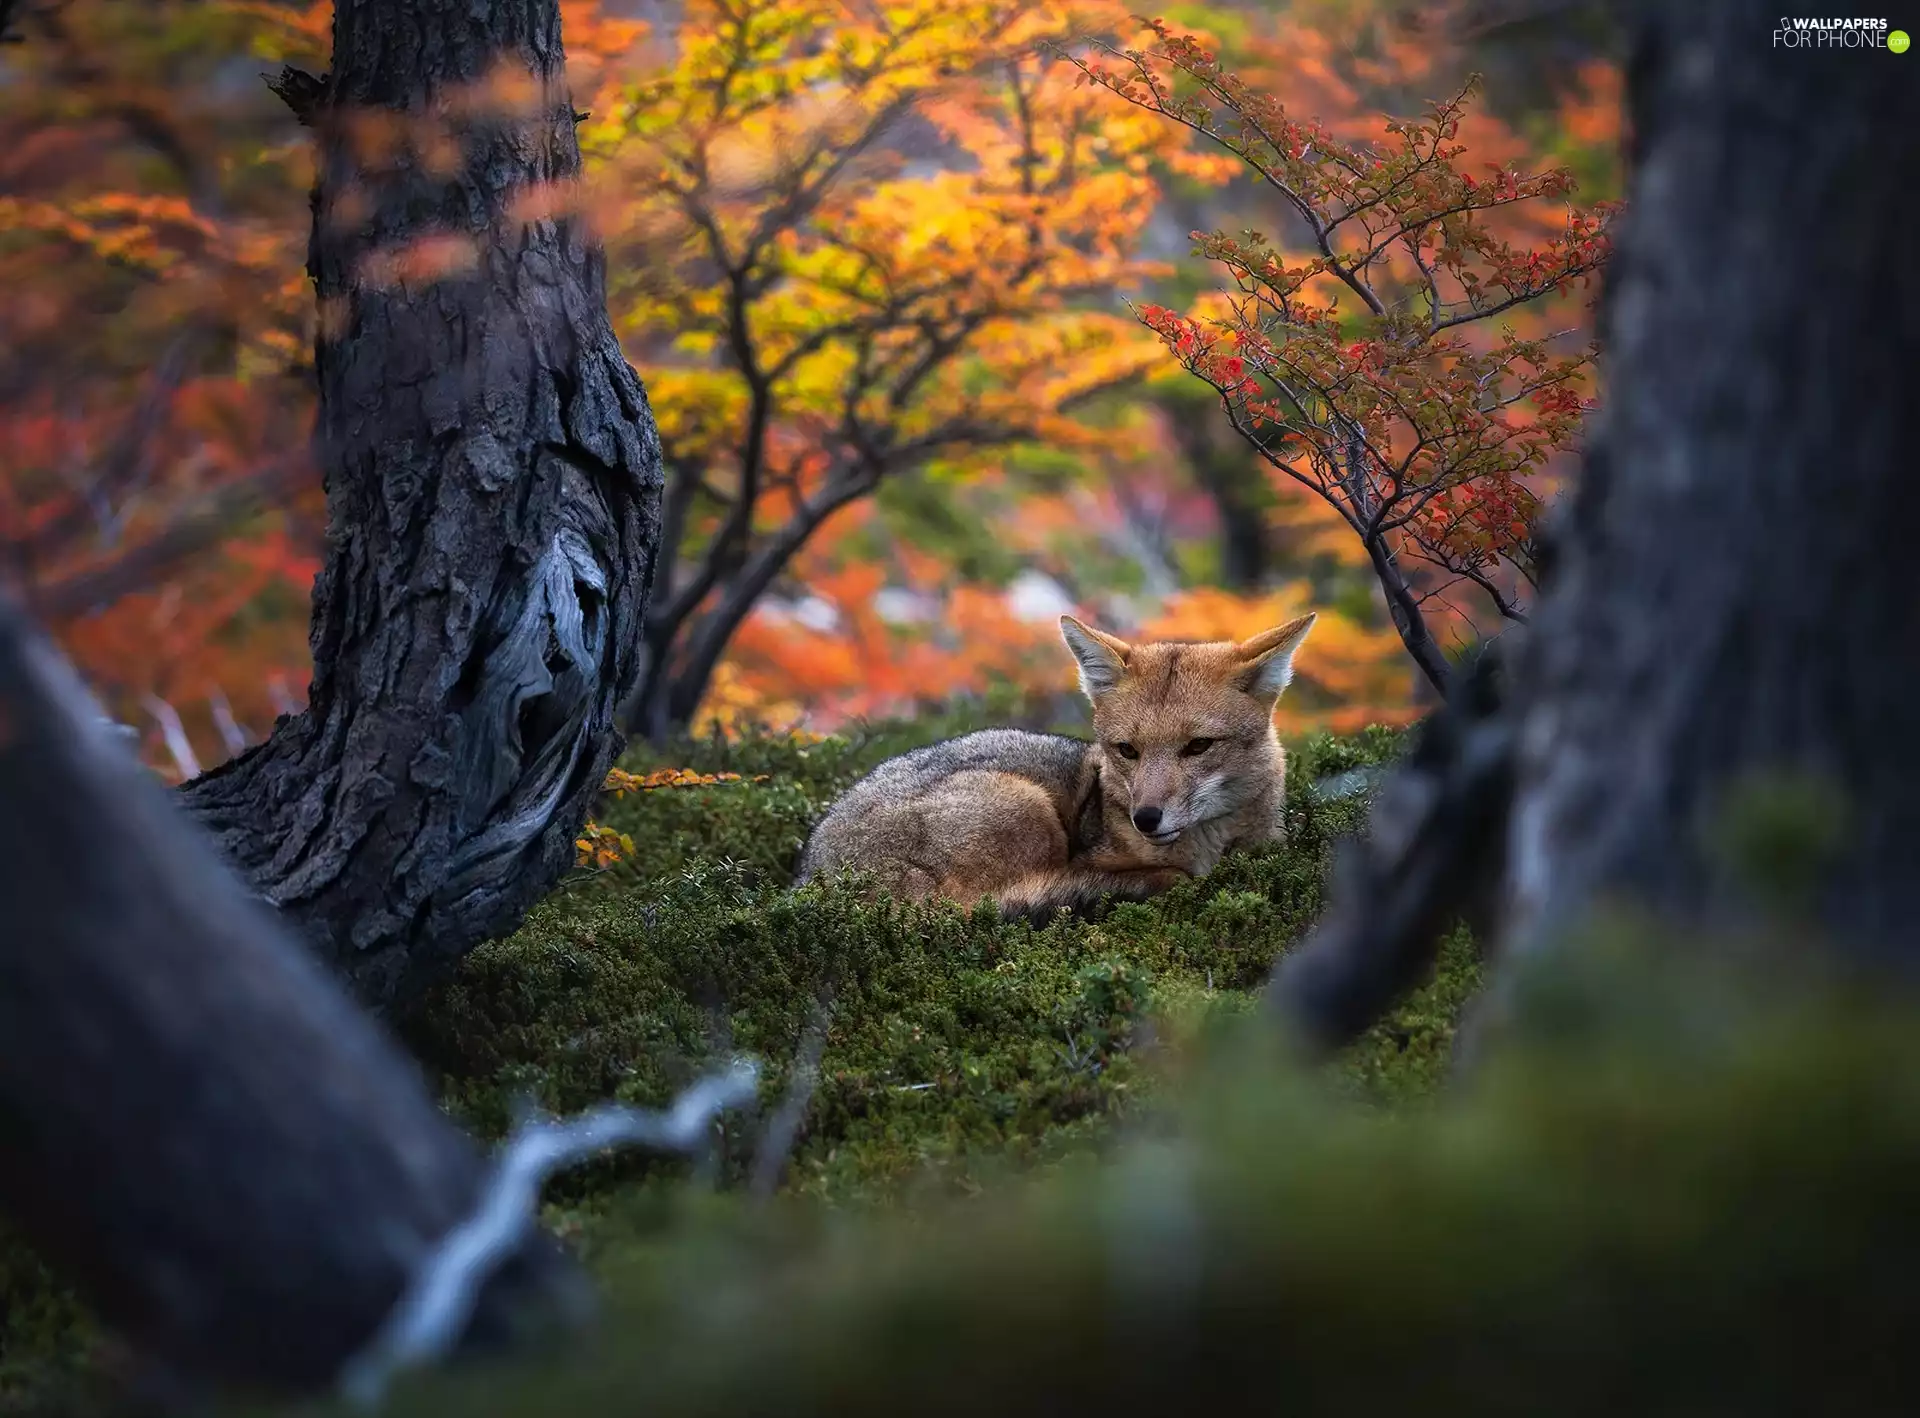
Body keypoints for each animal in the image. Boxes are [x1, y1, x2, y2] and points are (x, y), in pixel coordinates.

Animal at [794, 610, 1317, 918]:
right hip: (1029, 808)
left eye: (1198, 746)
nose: (1146, 818)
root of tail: (809, 875)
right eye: (1127, 750)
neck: (1209, 849)